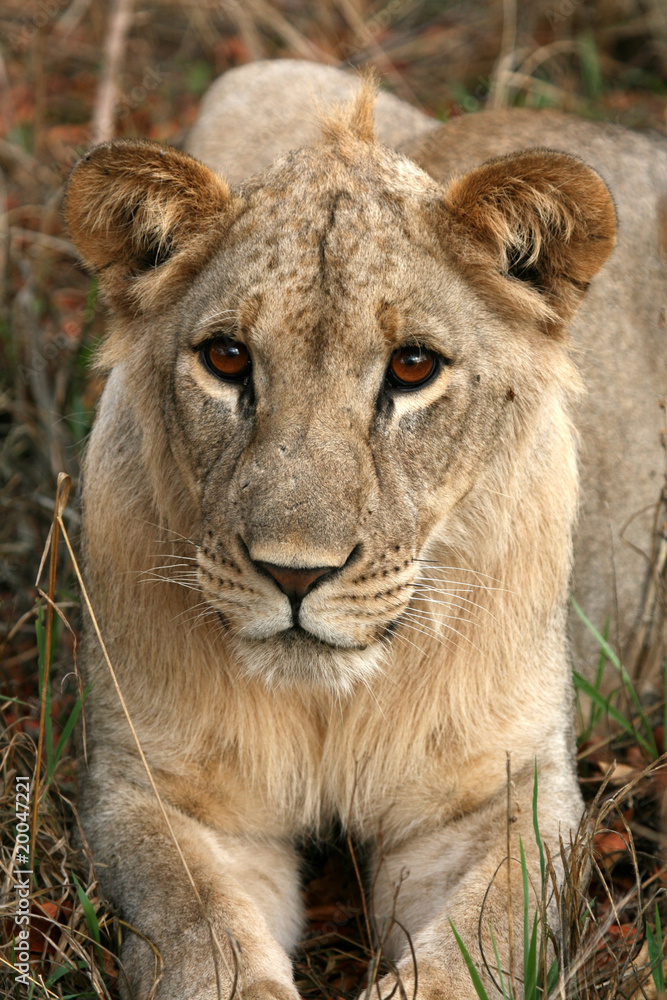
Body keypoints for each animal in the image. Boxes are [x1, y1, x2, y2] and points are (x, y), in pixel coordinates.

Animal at [64, 64, 665, 1000]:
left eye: (412, 367)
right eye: (227, 358)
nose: (294, 575)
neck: (329, 703)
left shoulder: (505, 794)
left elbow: (481, 942)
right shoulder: (155, 790)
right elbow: (199, 931)